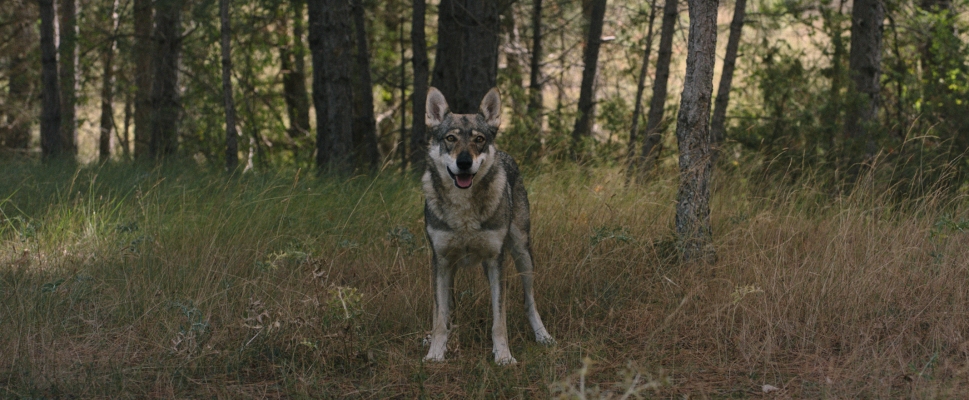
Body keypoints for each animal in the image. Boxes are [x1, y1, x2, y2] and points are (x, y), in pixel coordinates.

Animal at [422, 87, 552, 366]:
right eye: (450, 138)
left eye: (479, 139)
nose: (464, 163)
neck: (464, 212)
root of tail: (506, 154)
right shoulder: (441, 261)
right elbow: (440, 317)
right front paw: (435, 354)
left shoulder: (496, 261)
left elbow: (499, 320)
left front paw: (503, 356)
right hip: (452, 268)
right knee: (446, 311)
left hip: (522, 254)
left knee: (530, 301)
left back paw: (543, 336)